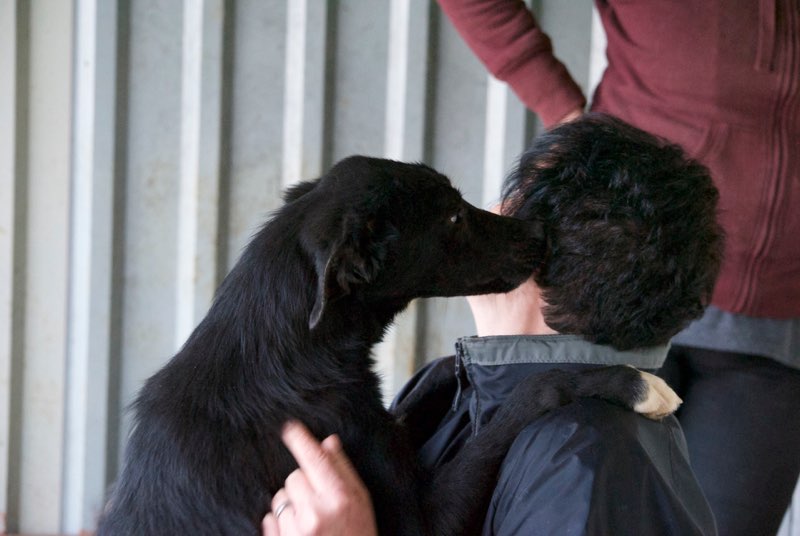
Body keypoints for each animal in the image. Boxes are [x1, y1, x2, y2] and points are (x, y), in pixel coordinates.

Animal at [98, 157, 676, 532]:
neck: (285, 347)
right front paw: (633, 383)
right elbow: (536, 389)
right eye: (452, 215)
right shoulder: (421, 519)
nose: (541, 231)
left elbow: (422, 393)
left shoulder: (379, 417)